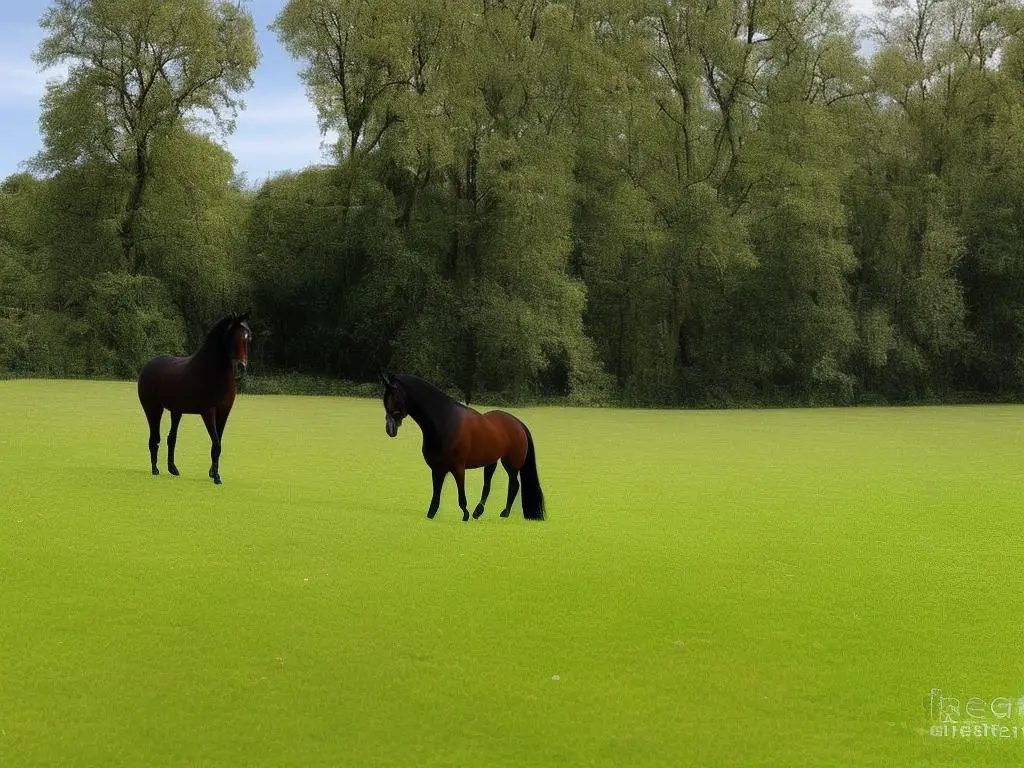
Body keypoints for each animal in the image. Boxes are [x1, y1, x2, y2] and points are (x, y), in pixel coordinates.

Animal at [137, 313, 250, 483]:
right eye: (233, 336)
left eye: (248, 338)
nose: (242, 367)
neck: (213, 371)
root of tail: (147, 366)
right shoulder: (208, 412)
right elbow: (216, 444)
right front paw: (216, 477)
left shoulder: (224, 412)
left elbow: (217, 442)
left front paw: (213, 473)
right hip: (153, 409)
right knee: (154, 438)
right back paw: (155, 469)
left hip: (176, 411)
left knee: (171, 438)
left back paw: (172, 469)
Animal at [382, 374, 544, 524]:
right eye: (385, 400)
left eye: (395, 397)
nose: (390, 429)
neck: (446, 422)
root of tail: (519, 424)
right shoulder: (437, 469)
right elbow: (436, 493)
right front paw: (431, 515)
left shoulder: (458, 468)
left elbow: (461, 493)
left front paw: (465, 515)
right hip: (492, 461)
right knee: (488, 486)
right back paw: (478, 512)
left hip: (511, 464)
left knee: (514, 485)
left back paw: (504, 512)